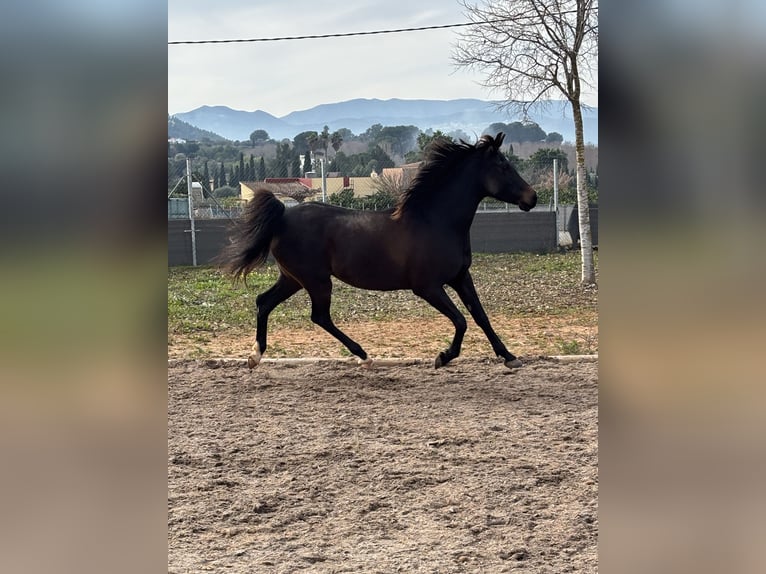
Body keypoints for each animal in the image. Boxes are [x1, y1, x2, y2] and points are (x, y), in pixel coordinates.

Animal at [219, 132, 537, 370]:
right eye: (503, 166)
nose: (531, 198)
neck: (435, 221)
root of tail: (284, 214)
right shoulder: (428, 287)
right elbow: (461, 320)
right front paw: (443, 357)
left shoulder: (460, 277)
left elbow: (480, 316)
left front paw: (509, 357)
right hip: (315, 281)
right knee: (319, 316)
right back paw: (364, 356)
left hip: (293, 279)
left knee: (264, 302)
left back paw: (255, 356)